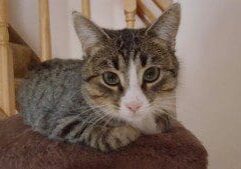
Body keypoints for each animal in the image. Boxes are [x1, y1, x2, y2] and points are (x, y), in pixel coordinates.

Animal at [17, 3, 180, 152]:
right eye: (110, 78)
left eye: (151, 74)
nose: (134, 105)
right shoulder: (58, 120)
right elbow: (94, 132)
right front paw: (129, 131)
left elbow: (164, 120)